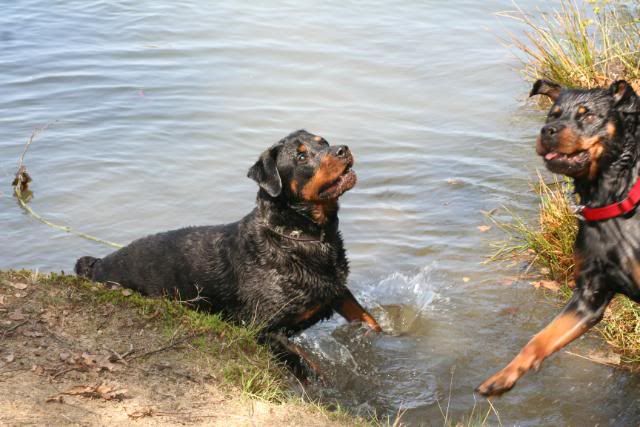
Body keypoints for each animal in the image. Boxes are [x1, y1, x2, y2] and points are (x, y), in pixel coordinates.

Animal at [77, 130, 382, 378]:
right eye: (301, 155)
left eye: (324, 142)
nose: (342, 149)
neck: (298, 235)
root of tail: (97, 265)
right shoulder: (263, 328)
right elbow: (307, 364)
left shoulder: (336, 289)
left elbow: (369, 319)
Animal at [478, 78, 640, 396]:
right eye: (552, 115)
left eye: (587, 115)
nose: (547, 131)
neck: (612, 201)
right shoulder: (589, 296)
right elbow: (540, 339)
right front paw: (502, 377)